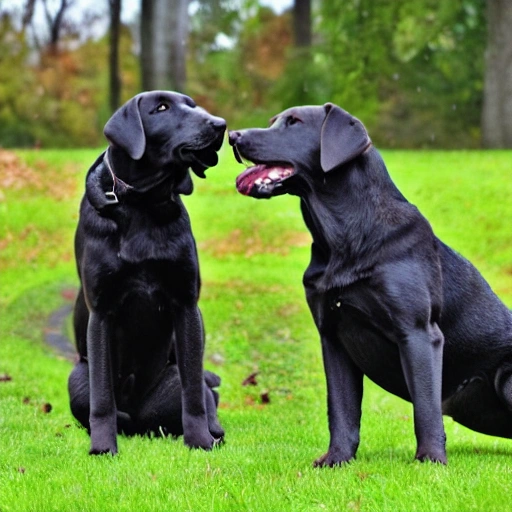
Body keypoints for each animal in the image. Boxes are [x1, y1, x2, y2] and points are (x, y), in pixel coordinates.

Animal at [68, 90, 226, 454]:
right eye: (162, 108)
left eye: (193, 105)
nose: (220, 125)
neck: (142, 202)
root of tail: (140, 418)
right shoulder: (102, 312)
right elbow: (102, 398)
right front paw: (103, 448)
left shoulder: (186, 304)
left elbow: (193, 396)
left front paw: (199, 441)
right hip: (77, 377)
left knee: (204, 392)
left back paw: (212, 430)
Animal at [230, 102, 512, 466]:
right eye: (273, 122)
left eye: (294, 122)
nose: (233, 136)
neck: (346, 238)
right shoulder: (332, 336)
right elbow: (341, 409)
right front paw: (336, 459)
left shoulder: (418, 332)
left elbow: (425, 408)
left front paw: (431, 460)